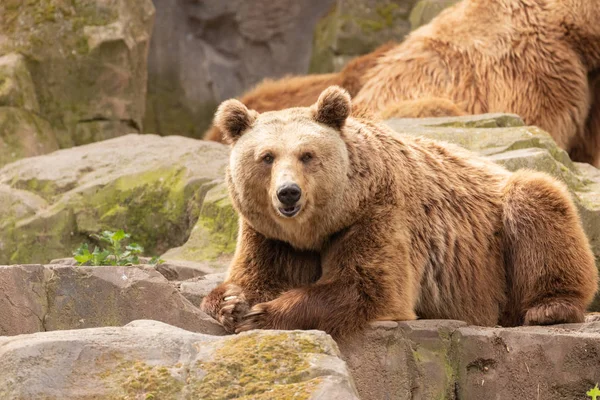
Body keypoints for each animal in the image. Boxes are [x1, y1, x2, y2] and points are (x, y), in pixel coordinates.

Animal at [202, 86, 600, 340]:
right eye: (266, 157)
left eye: (307, 155)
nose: (288, 193)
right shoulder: (269, 234)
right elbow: (254, 274)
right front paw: (232, 303)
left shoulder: (377, 212)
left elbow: (367, 287)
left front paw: (261, 315)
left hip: (500, 234)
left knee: (537, 198)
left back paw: (550, 308)